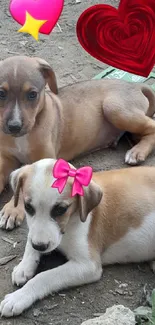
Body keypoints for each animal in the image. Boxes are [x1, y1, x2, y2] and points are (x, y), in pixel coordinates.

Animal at [0, 55, 155, 229]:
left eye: (32, 94)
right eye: (1, 93)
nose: (14, 126)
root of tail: (135, 85)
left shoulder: (45, 161)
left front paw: (12, 210)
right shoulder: (6, 158)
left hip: (114, 108)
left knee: (152, 125)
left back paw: (137, 151)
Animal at [0, 158, 155, 316]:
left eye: (60, 209)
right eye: (28, 207)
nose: (40, 246)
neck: (69, 224)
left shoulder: (88, 265)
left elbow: (45, 276)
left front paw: (18, 297)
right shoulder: (36, 234)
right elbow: (30, 241)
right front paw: (23, 267)